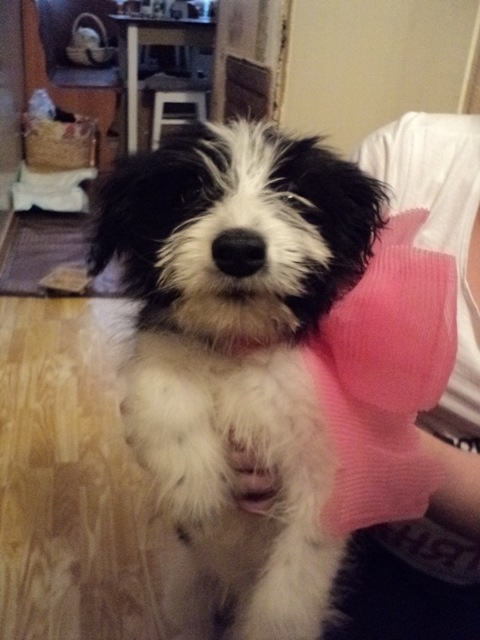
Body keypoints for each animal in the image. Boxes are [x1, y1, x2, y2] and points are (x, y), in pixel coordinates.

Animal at [89, 120, 387, 639]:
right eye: (191, 193)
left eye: (291, 194)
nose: (239, 250)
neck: (240, 347)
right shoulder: (163, 342)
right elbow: (163, 380)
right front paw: (195, 481)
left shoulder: (329, 473)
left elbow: (295, 579)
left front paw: (277, 622)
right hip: (185, 583)